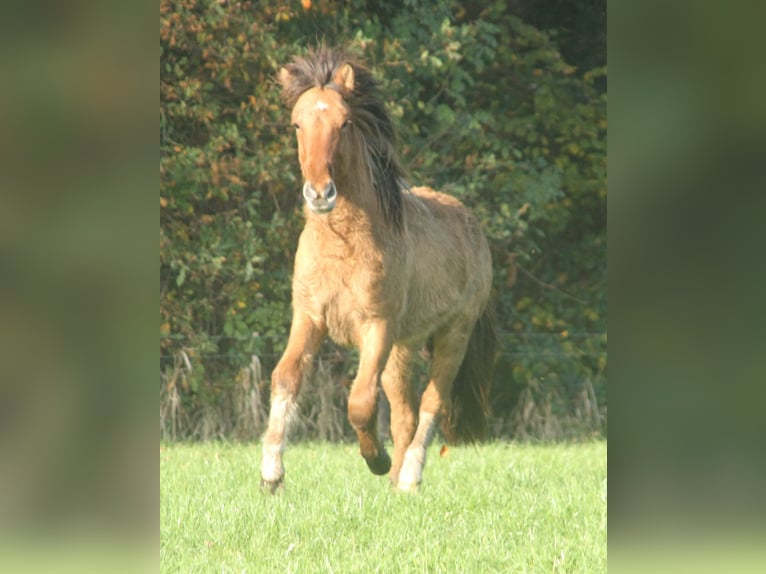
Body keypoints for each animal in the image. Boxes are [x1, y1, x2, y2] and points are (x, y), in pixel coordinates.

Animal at [261, 46, 496, 493]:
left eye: (345, 122)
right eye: (297, 123)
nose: (320, 194)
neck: (342, 245)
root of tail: (473, 226)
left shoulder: (377, 326)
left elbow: (360, 402)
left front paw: (376, 459)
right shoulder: (309, 317)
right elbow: (286, 378)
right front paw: (271, 473)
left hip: (451, 336)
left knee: (431, 404)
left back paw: (407, 476)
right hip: (402, 349)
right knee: (405, 414)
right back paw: (395, 486)